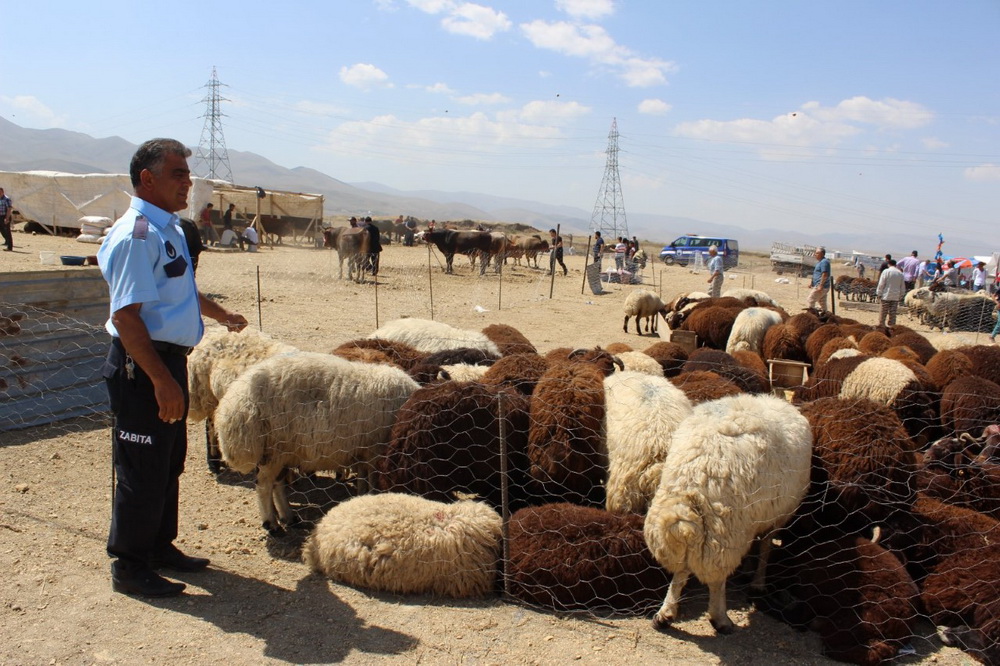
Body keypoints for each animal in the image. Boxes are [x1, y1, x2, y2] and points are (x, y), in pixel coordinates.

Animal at [217, 350, 420, 532]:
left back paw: (288, 517)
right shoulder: (375, 451)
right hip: (274, 449)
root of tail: (236, 400)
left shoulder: (364, 451)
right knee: (265, 485)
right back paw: (272, 524)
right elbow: (372, 481)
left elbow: (364, 479)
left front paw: (361, 497)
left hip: (283, 451)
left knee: (277, 483)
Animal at [640, 394, 812, 632]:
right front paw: (758, 582)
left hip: (697, 525)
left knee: (681, 570)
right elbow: (766, 547)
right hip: (725, 529)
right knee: (716, 579)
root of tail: (694, 476)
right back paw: (720, 618)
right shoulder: (776, 516)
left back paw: (665, 614)